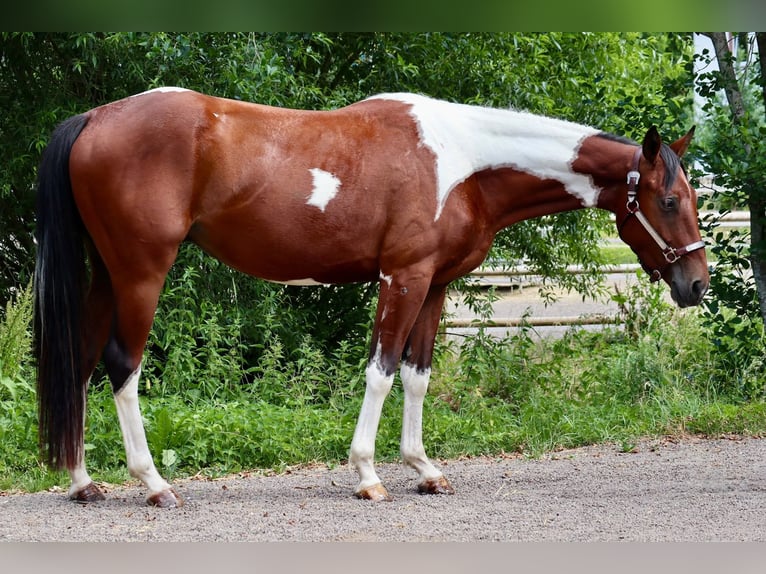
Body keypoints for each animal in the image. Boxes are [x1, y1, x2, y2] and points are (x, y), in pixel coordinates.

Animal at [34, 88, 709, 507]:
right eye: (668, 200)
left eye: (694, 197)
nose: (697, 284)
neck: (463, 162)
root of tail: (94, 118)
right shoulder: (402, 278)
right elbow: (381, 371)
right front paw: (367, 475)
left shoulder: (434, 285)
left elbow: (417, 375)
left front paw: (425, 470)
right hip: (140, 275)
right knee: (122, 367)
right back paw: (153, 485)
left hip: (106, 275)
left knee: (80, 362)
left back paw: (81, 482)